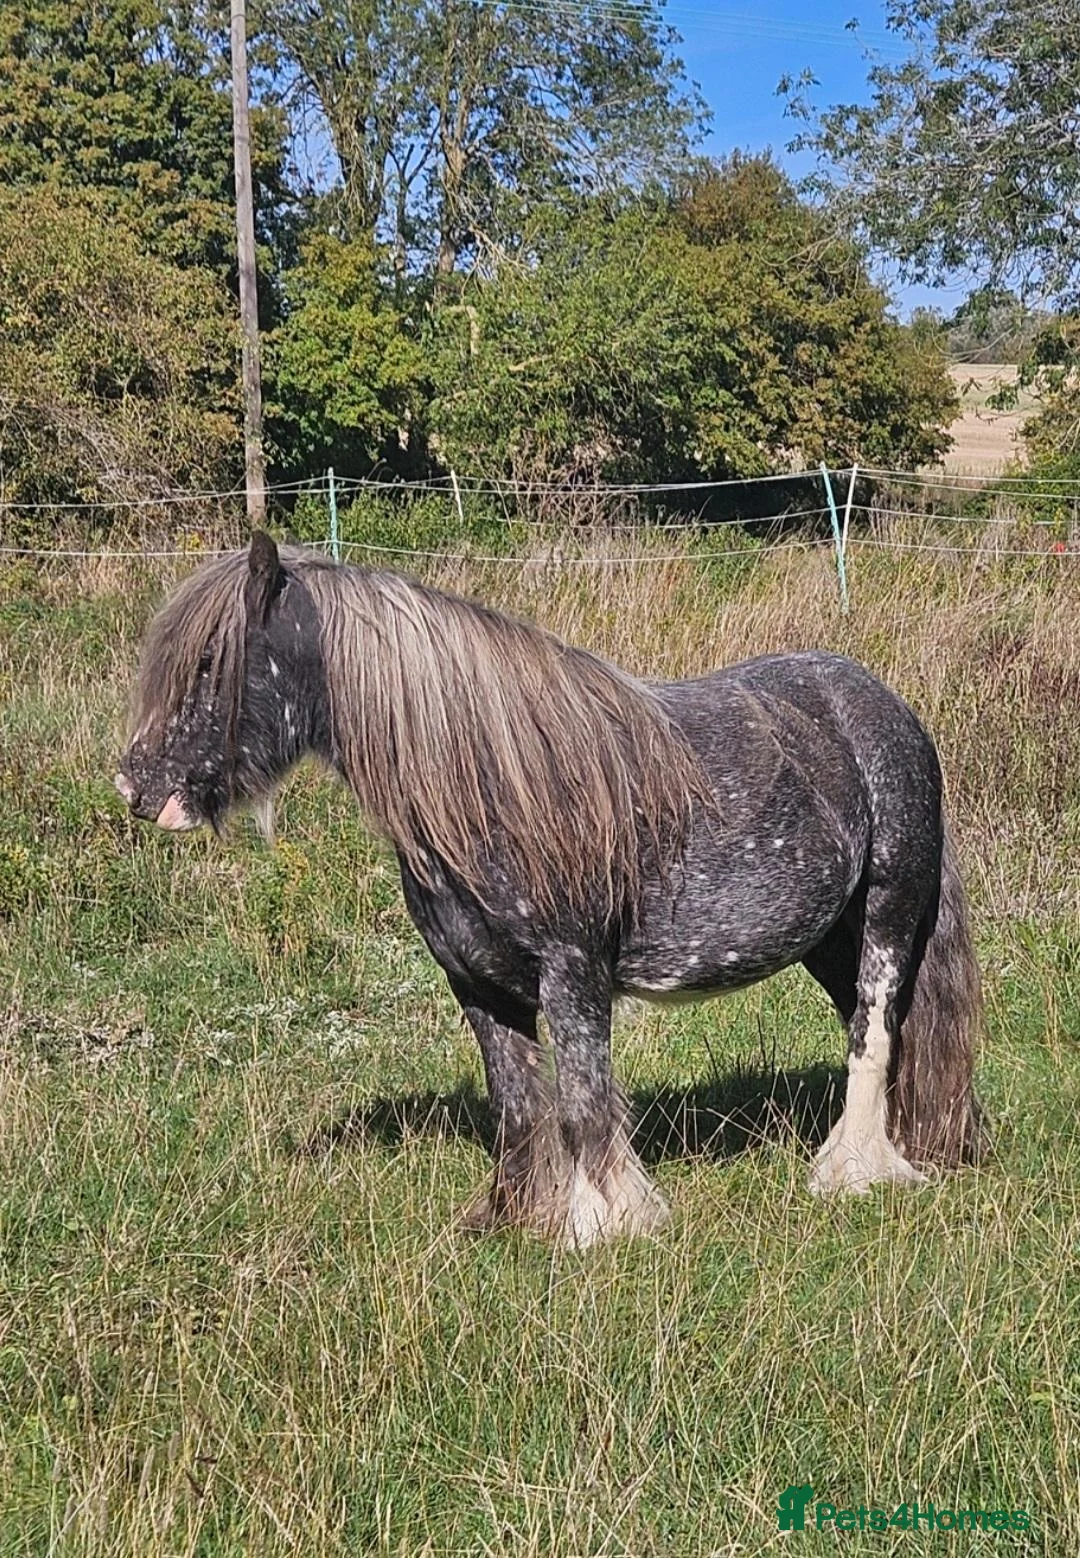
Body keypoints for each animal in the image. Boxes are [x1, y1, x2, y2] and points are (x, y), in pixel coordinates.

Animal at [115, 533, 984, 1247]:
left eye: (210, 662)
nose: (134, 788)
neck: (488, 786)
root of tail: (883, 705)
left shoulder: (572, 977)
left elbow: (580, 1100)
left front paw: (604, 1225)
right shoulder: (478, 987)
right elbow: (516, 1104)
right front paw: (515, 1218)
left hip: (888, 915)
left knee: (873, 1031)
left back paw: (853, 1173)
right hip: (830, 940)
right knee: (891, 1029)